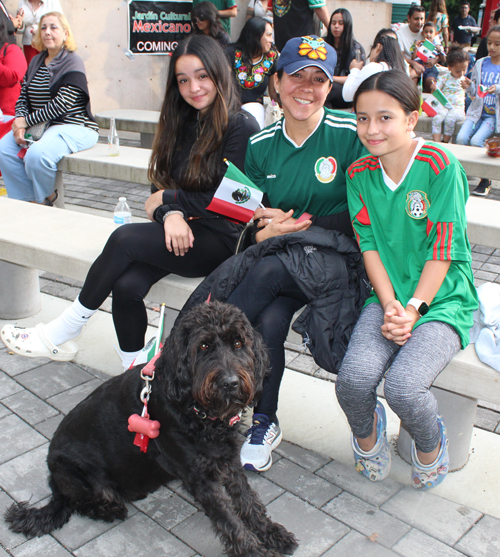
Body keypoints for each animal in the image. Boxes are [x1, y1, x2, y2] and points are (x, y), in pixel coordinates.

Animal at [3, 302, 296, 552]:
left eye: (238, 343)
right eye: (203, 346)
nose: (231, 382)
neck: (195, 410)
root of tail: (56, 484)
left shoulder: (228, 460)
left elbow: (247, 500)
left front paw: (271, 533)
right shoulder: (200, 476)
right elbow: (228, 519)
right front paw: (253, 550)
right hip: (74, 472)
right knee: (82, 502)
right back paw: (110, 509)